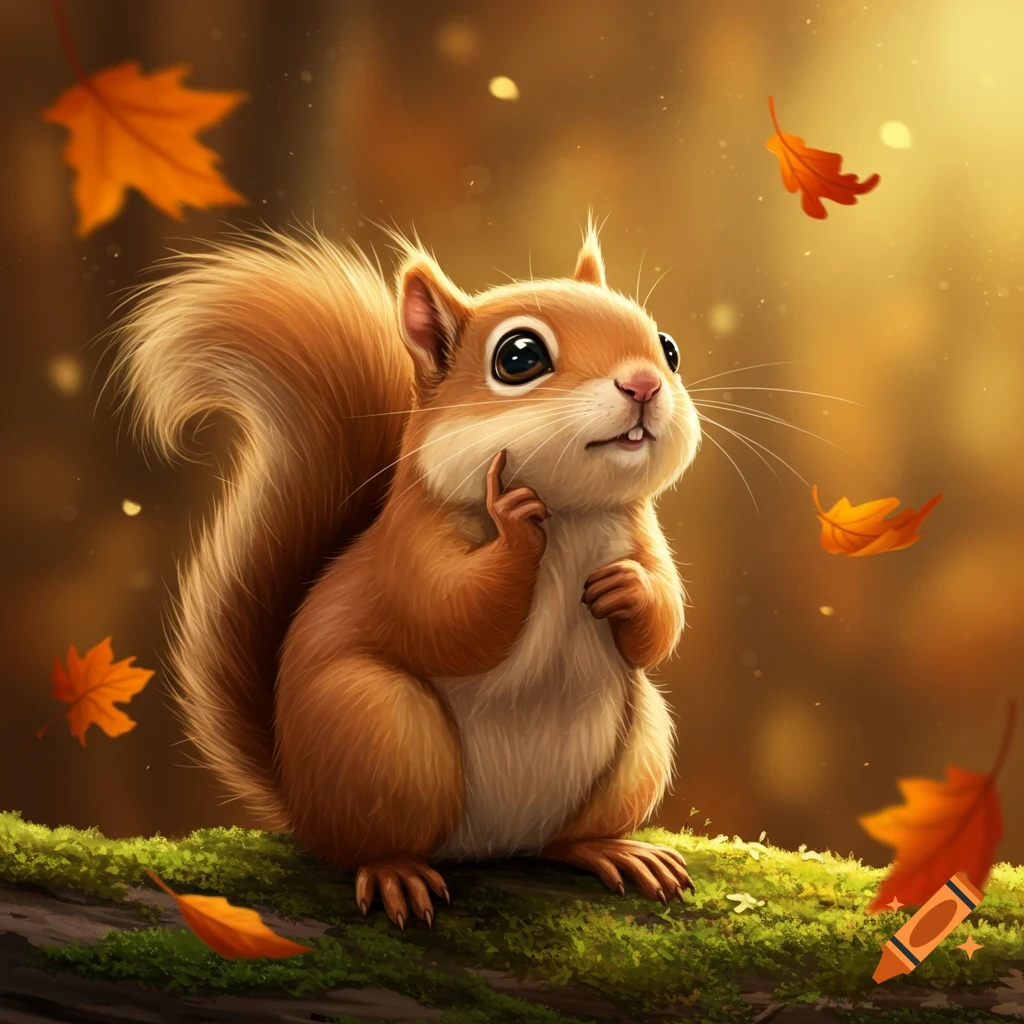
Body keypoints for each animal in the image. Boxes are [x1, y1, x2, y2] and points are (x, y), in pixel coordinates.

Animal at [117, 218, 702, 929]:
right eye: (519, 357)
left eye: (669, 348)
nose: (644, 383)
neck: (570, 518)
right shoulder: (406, 552)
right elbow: (446, 616)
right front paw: (513, 522)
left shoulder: (644, 537)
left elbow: (663, 624)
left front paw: (630, 590)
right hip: (380, 728)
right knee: (364, 844)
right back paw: (396, 871)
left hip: (637, 742)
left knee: (563, 838)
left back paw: (612, 849)